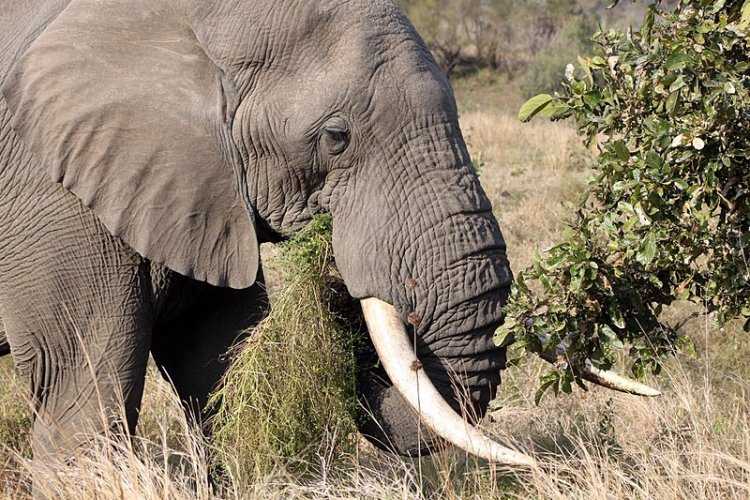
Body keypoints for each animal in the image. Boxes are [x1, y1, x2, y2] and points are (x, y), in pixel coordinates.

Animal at [0, 0, 656, 466]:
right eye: (336, 137)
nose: (346, 272)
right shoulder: (55, 195)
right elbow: (82, 393)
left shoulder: (195, 196)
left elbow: (219, 364)